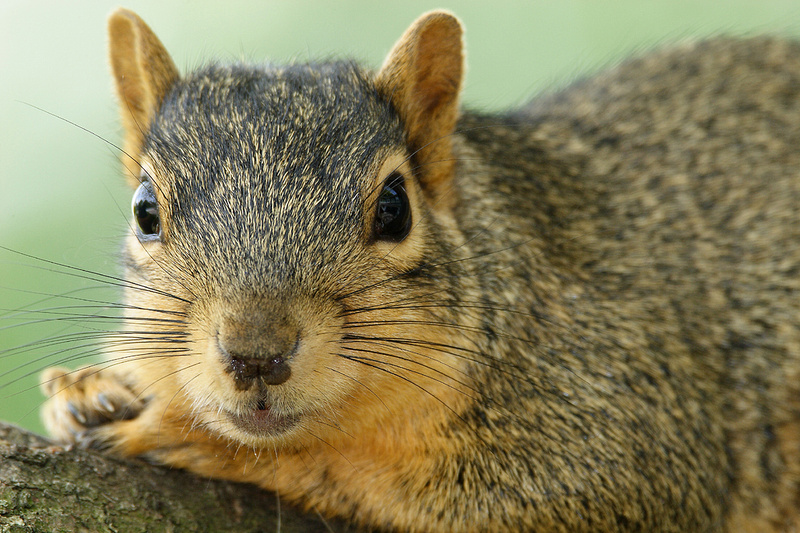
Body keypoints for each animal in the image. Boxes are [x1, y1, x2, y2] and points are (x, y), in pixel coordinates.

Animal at [39, 8, 800, 532]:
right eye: (145, 210)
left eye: (395, 208)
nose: (255, 354)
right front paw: (91, 387)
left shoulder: (623, 427)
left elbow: (356, 471)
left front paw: (181, 431)